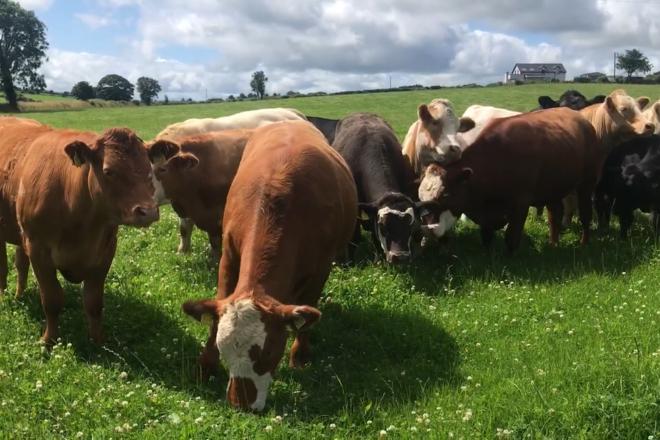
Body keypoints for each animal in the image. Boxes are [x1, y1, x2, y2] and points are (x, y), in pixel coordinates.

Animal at [0, 117, 158, 344]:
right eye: (108, 171)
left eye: (149, 169)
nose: (149, 211)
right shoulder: (38, 249)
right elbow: (52, 299)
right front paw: (48, 340)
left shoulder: (106, 249)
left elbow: (94, 301)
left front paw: (98, 340)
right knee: (4, 266)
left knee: (20, 264)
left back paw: (19, 294)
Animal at [181, 121, 357, 412]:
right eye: (224, 350)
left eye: (270, 353)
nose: (240, 404)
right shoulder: (228, 255)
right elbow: (218, 305)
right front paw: (205, 365)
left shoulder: (321, 267)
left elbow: (308, 311)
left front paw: (300, 355)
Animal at [417, 90, 655, 253]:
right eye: (421, 197)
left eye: (445, 195)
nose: (428, 229)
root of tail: (581, 120)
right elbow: (486, 235)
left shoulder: (520, 204)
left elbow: (511, 237)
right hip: (554, 188)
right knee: (555, 215)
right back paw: (553, 243)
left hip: (586, 185)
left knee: (585, 214)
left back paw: (584, 242)